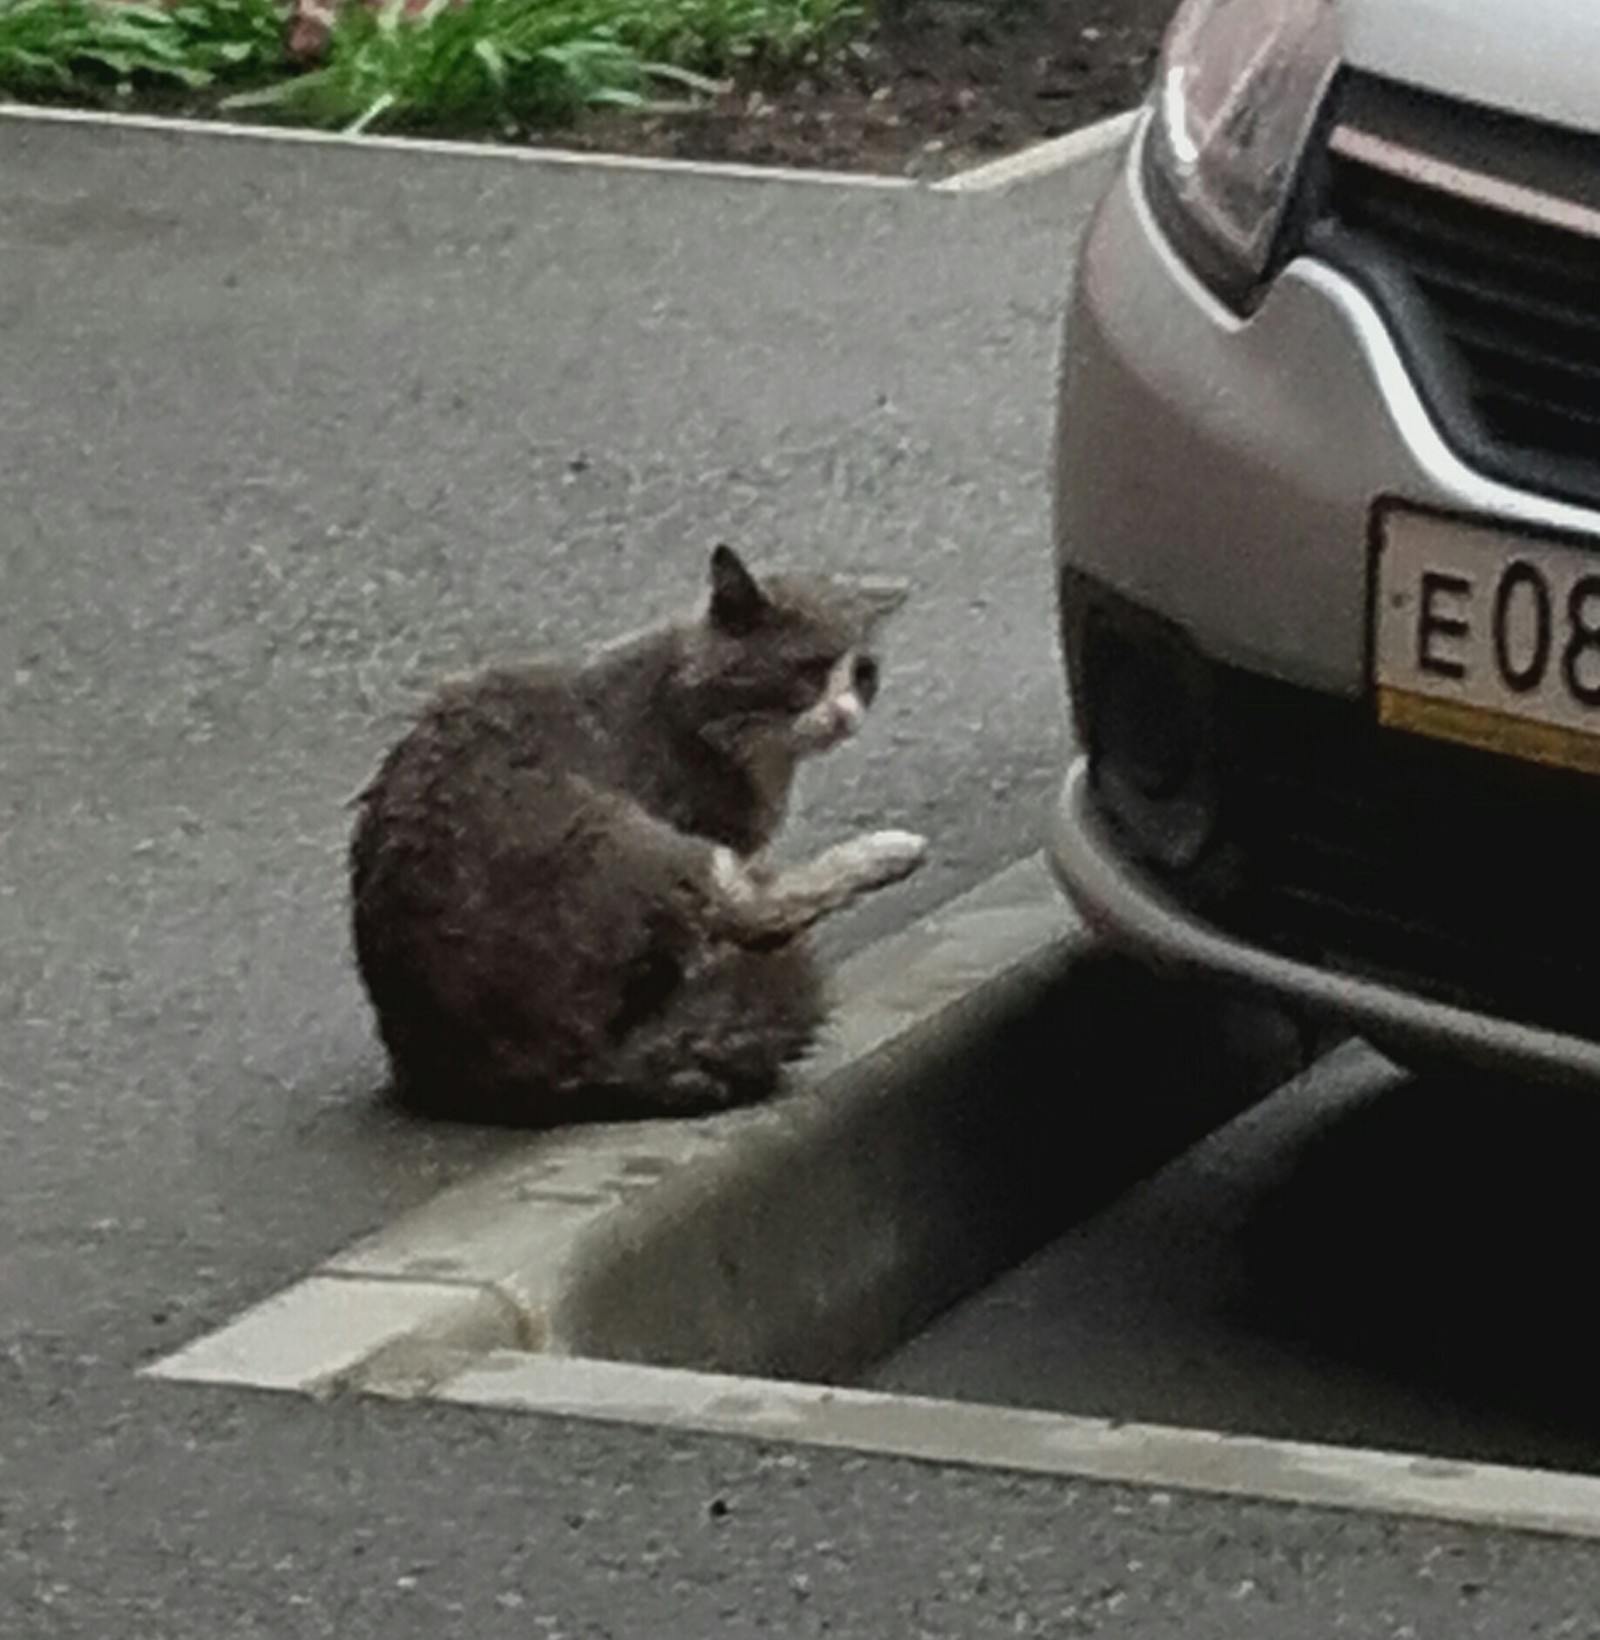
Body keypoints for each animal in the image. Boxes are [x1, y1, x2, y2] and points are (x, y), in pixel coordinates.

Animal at [350, 547, 924, 1128]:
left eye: (864, 677)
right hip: (611, 834)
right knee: (750, 911)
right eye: (807, 670)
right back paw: (890, 852)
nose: (847, 714)